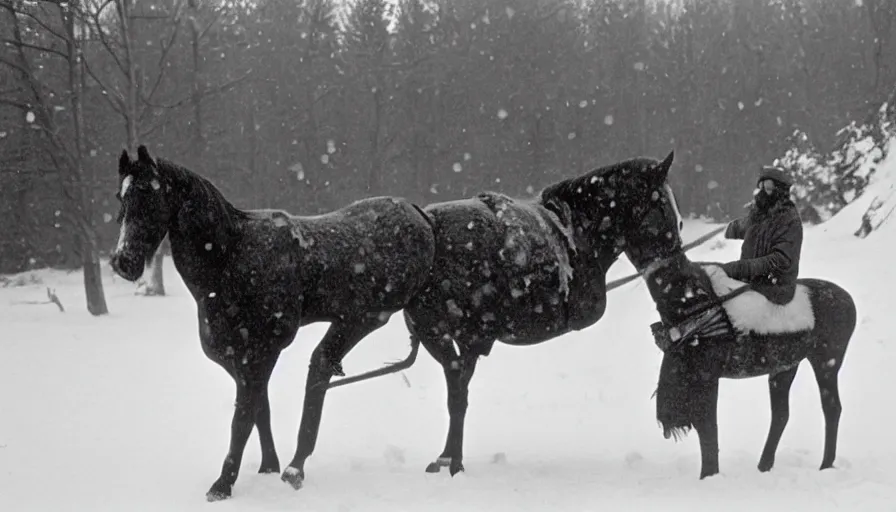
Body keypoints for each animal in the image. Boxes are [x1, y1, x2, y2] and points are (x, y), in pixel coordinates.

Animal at [108, 145, 438, 500]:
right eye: (120, 197)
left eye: (150, 194)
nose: (122, 261)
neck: (231, 259)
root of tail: (420, 215)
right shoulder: (238, 358)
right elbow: (259, 411)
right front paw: (268, 466)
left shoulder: (263, 352)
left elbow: (242, 419)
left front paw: (223, 484)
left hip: (364, 317)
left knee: (323, 366)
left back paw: (297, 467)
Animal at [342, 152, 680, 476]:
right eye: (664, 209)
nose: (675, 262)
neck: (578, 229)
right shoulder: (454, 338)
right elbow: (457, 398)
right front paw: (451, 461)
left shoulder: (462, 341)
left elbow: (458, 397)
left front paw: (451, 460)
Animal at [620, 176, 856, 480]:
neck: (693, 300)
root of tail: (848, 299)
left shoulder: (706, 375)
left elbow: (708, 430)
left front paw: (709, 477)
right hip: (785, 366)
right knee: (781, 414)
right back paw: (764, 467)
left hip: (826, 362)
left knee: (831, 408)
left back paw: (825, 466)